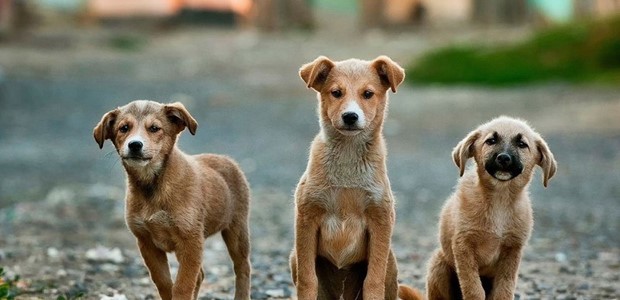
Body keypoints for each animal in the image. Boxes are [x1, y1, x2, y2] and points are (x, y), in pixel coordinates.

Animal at [91, 101, 249, 300]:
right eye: (124, 128)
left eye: (154, 128)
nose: (134, 145)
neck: (153, 186)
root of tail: (227, 159)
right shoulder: (146, 242)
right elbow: (164, 282)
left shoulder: (190, 240)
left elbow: (182, 285)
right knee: (201, 275)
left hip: (237, 230)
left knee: (242, 267)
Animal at [290, 56, 422, 300]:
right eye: (336, 92)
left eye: (368, 94)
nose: (350, 116)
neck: (348, 159)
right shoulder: (306, 217)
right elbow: (307, 280)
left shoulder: (380, 219)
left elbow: (373, 280)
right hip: (295, 255)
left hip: (391, 261)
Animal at [426, 116, 556, 300]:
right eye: (491, 141)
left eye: (522, 144)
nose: (504, 158)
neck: (499, 200)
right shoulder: (463, 245)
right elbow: (473, 288)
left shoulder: (512, 249)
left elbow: (504, 289)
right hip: (438, 265)